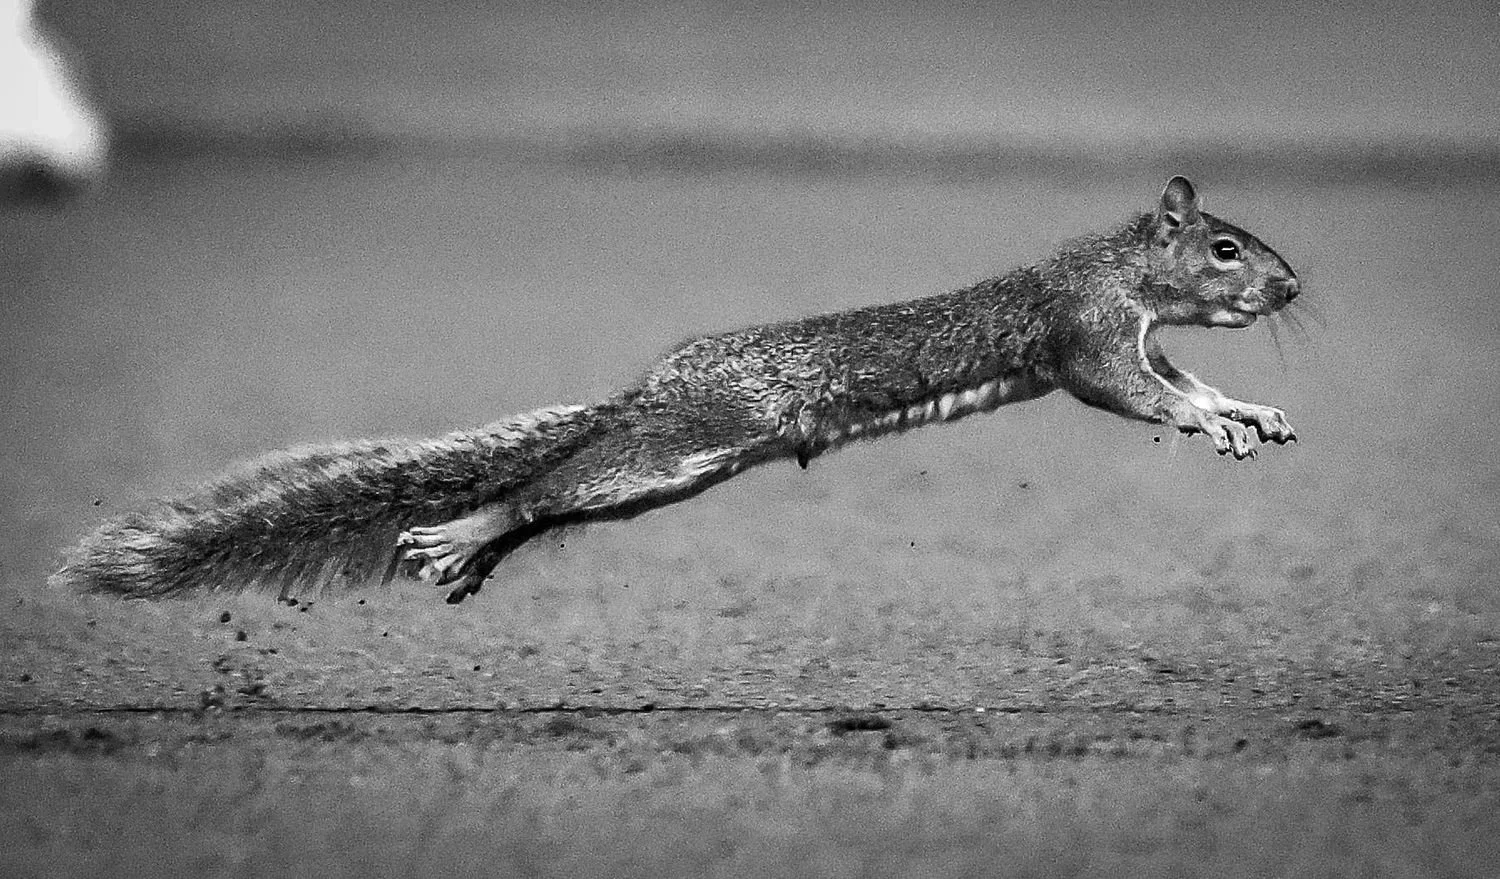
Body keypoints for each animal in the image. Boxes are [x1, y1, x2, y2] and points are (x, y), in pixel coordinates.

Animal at [53, 175, 1301, 604]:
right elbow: (1130, 392)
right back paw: (462, 534)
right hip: (683, 445)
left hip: (679, 468)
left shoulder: (1143, 340)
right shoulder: (1087, 336)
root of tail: (652, 382)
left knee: (550, 494)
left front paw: (1246, 412)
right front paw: (1209, 418)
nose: (1294, 284)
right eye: (1228, 247)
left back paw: (473, 553)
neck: (1122, 267)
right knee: (545, 487)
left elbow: (1185, 378)